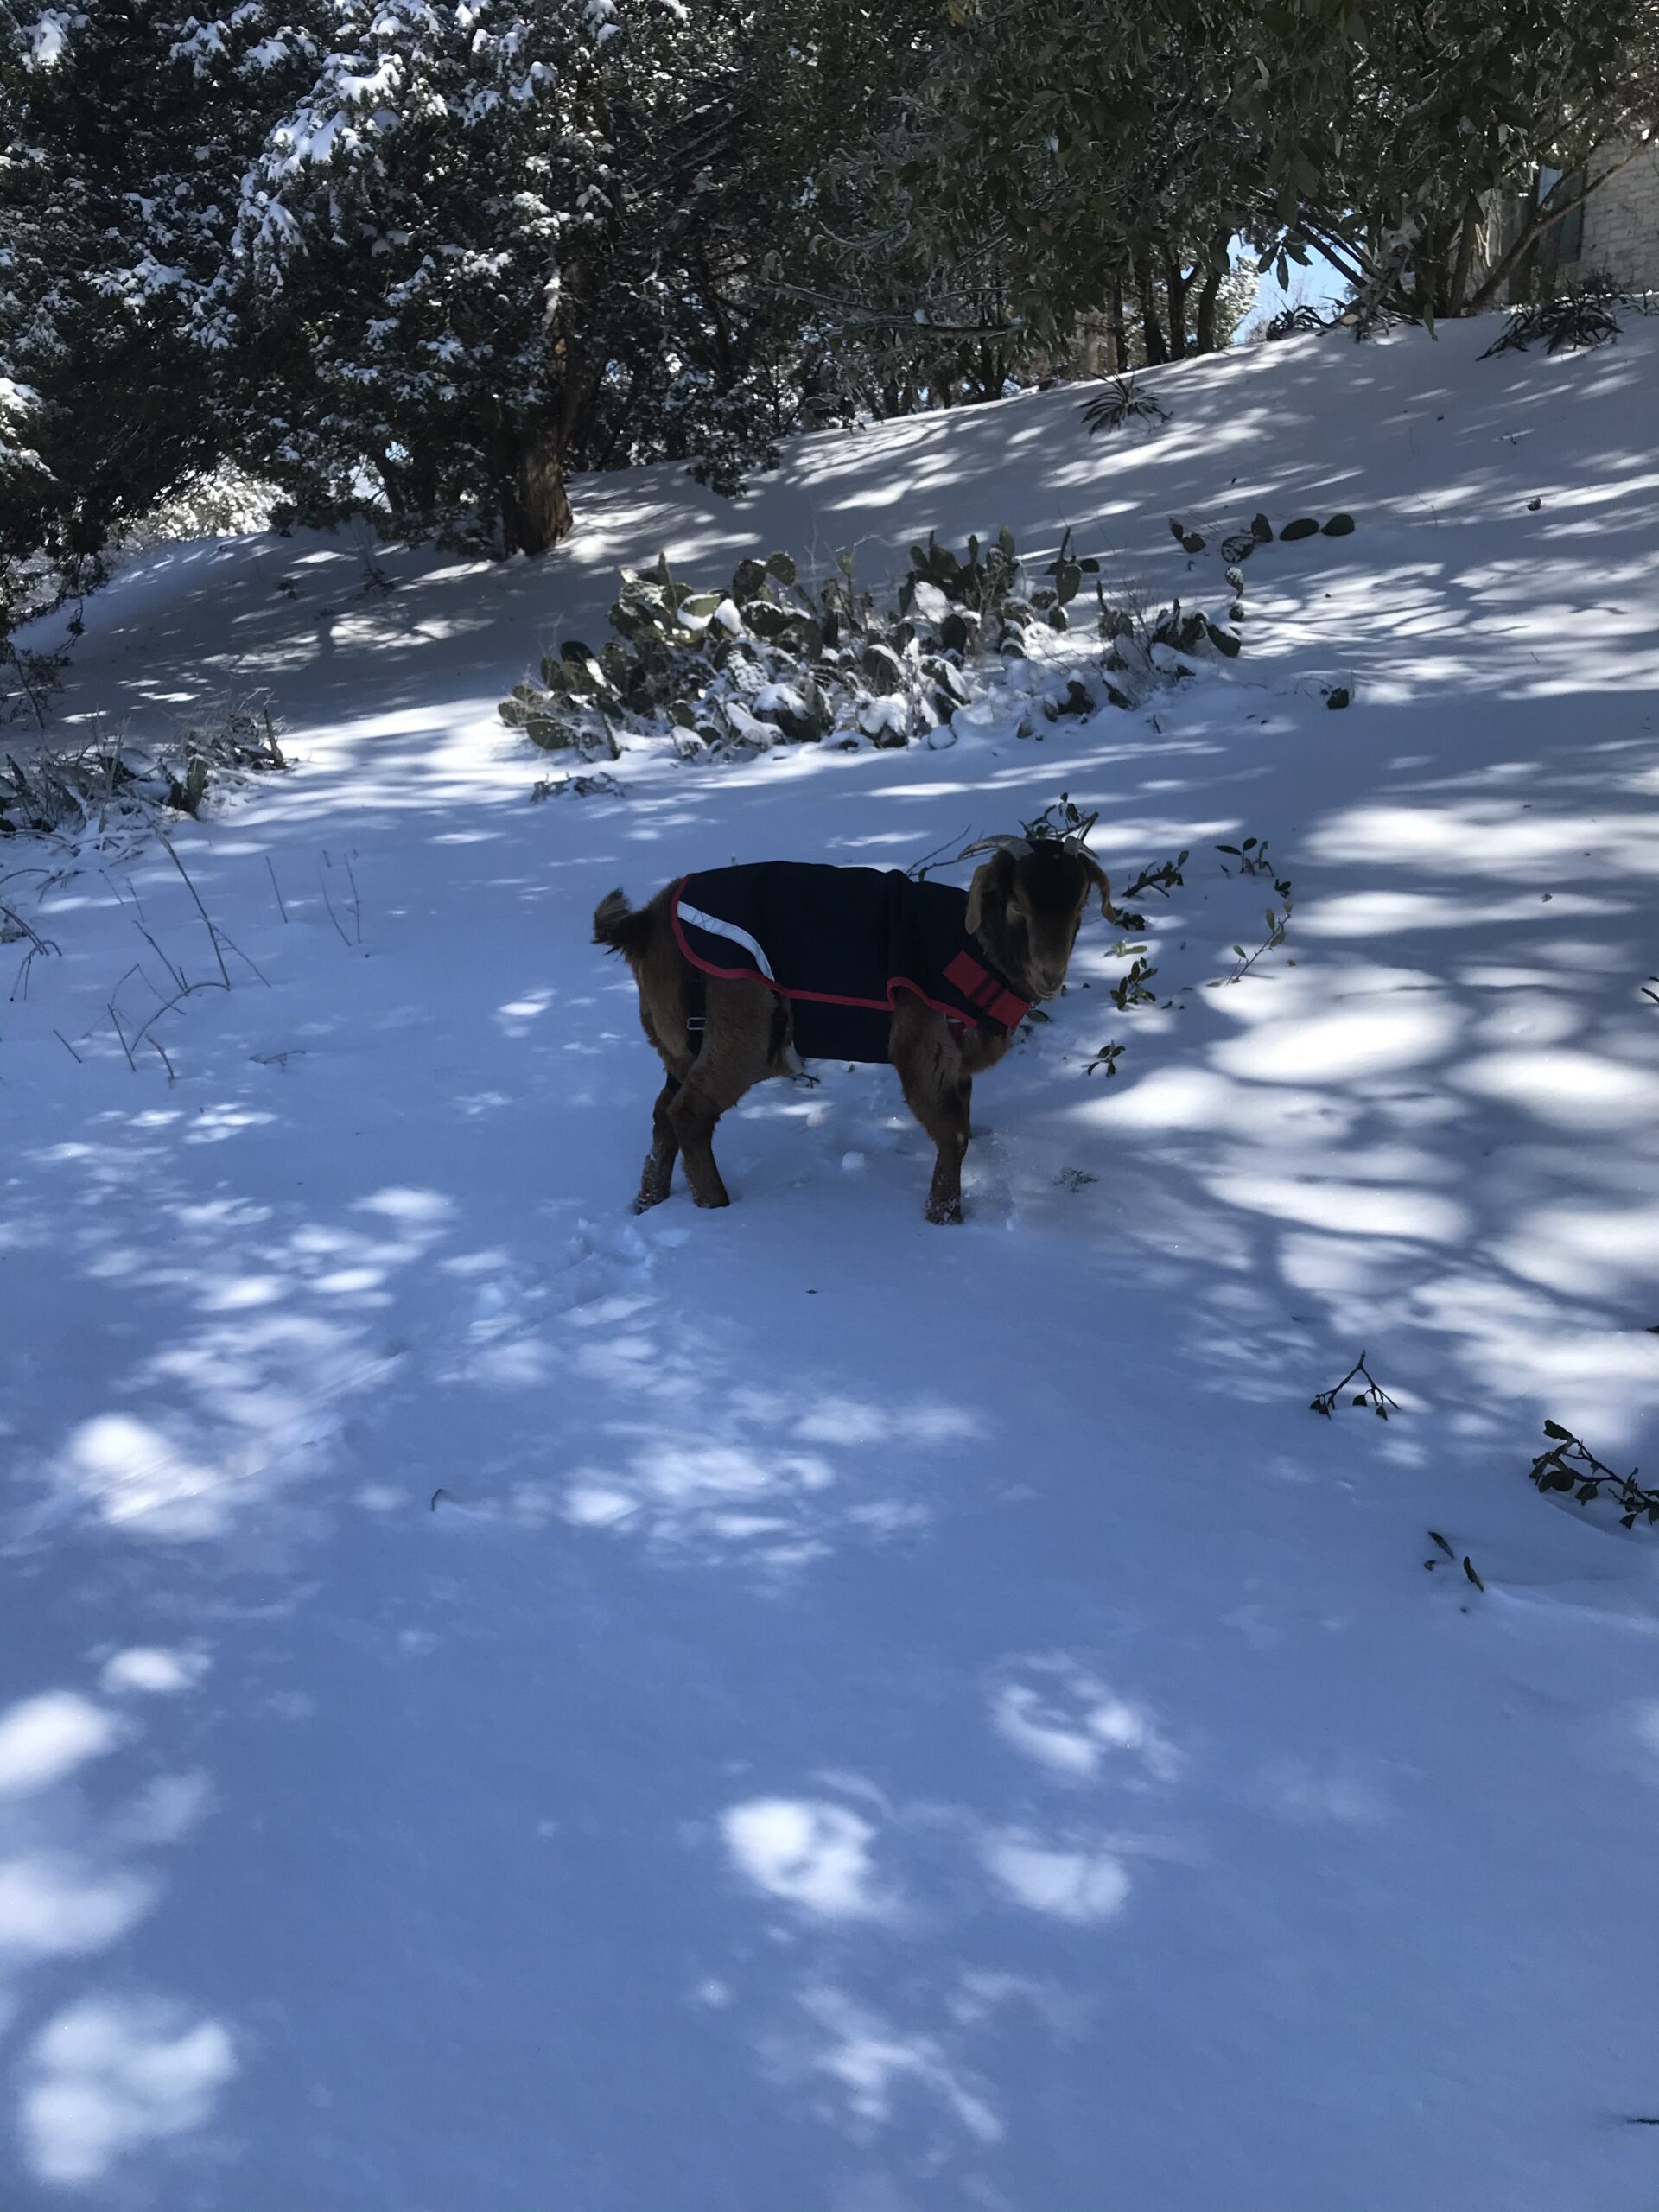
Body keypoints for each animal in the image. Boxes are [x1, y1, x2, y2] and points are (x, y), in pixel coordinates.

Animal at [593, 837, 1110, 1222]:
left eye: (1080, 904)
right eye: (1019, 905)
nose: (1050, 976)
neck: (975, 947)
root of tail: (646, 922)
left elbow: (963, 1117)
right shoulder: (922, 1041)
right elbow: (954, 1134)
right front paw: (944, 1217)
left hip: (676, 1039)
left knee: (663, 1114)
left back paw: (649, 1203)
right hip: (741, 1025)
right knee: (689, 1113)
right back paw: (717, 1209)